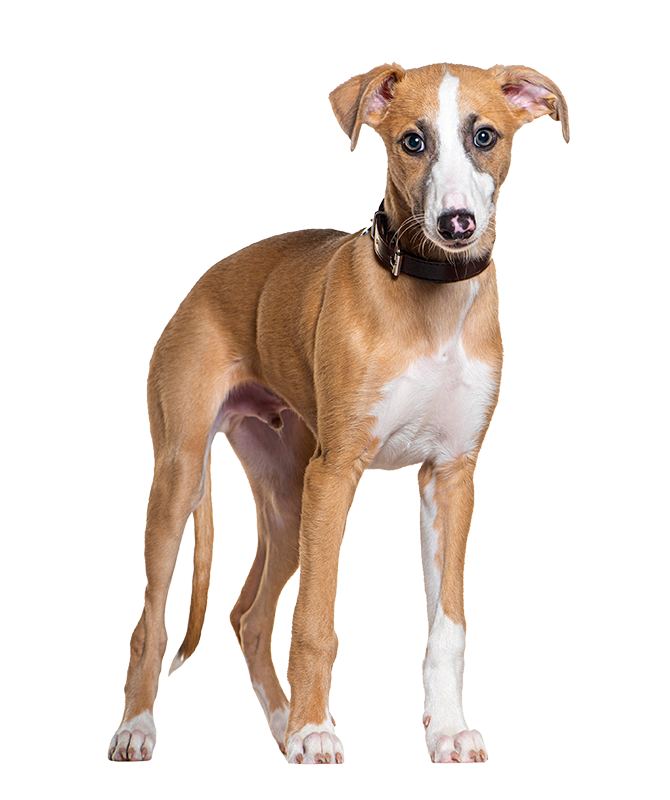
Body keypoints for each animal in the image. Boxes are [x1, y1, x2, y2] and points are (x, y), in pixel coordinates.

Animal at [108, 61, 568, 765]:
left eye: (484, 135)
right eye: (412, 141)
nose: (457, 223)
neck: (431, 300)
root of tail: (199, 284)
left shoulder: (450, 479)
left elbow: (448, 626)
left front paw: (447, 729)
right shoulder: (336, 473)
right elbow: (315, 621)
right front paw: (314, 731)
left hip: (287, 498)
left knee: (248, 615)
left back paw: (280, 725)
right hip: (184, 476)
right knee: (151, 622)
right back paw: (142, 727)